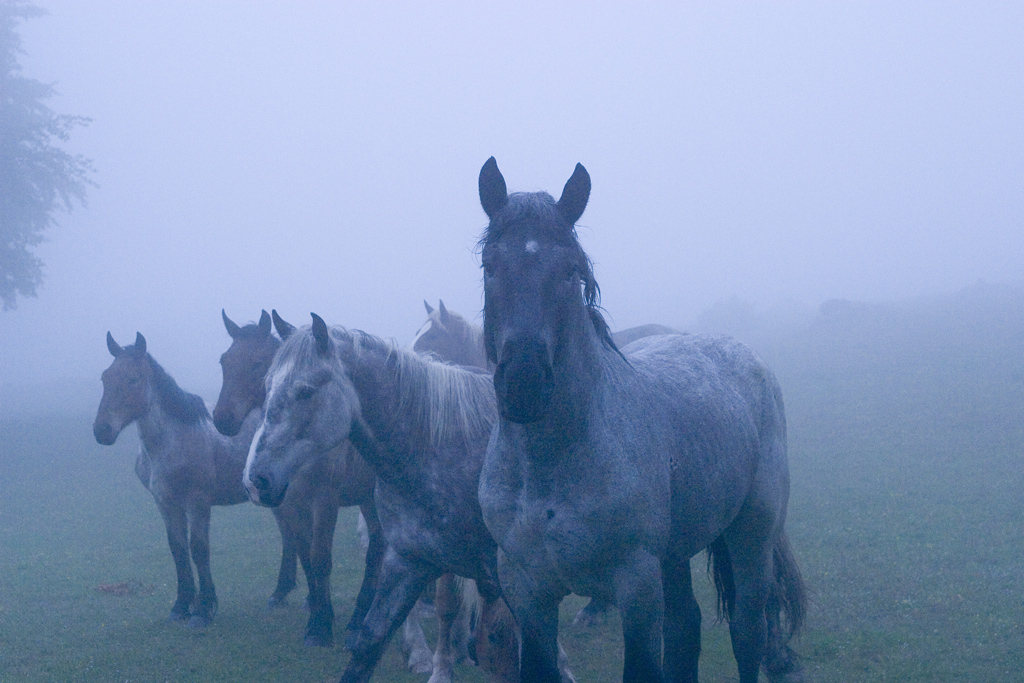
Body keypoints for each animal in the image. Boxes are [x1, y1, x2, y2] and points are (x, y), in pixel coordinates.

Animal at [93, 331, 260, 628]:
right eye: (105, 377)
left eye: (133, 379)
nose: (101, 431)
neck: (172, 440)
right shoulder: (165, 502)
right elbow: (178, 549)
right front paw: (181, 606)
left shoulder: (197, 502)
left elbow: (198, 549)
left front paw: (203, 609)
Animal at [214, 310, 383, 648]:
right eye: (224, 361)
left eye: (256, 364)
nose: (222, 418)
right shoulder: (289, 502)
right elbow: (304, 554)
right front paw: (314, 608)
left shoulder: (324, 501)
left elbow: (320, 558)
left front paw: (320, 625)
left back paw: (360, 617)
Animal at [476, 157, 806, 683]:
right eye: (490, 266)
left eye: (570, 271)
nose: (524, 382)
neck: (550, 465)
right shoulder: (529, 595)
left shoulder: (636, 589)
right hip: (674, 556)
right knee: (686, 628)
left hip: (751, 535)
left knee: (748, 630)